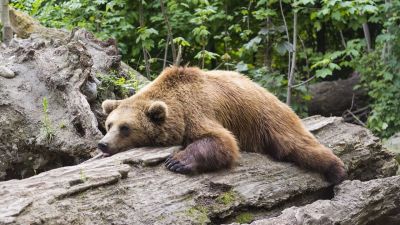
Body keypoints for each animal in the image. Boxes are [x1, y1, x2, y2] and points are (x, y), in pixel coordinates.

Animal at [98, 66, 346, 184]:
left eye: (125, 127)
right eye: (109, 125)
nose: (103, 144)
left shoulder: (197, 110)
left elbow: (221, 140)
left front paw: (177, 162)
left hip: (267, 118)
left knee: (296, 144)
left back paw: (337, 169)